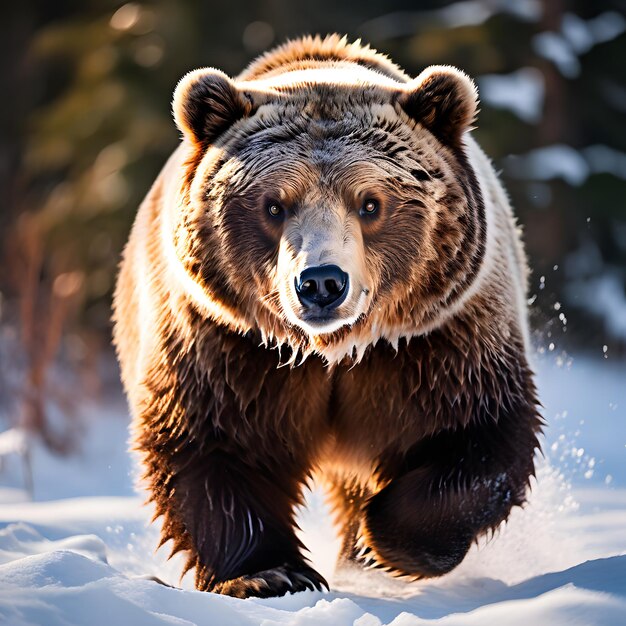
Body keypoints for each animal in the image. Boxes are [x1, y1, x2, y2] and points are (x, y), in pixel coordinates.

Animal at [112, 35, 540, 600]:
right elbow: (214, 443)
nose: (320, 283)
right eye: (274, 205)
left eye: (371, 203)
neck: (334, 349)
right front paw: (269, 573)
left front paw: (382, 545)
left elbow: (477, 430)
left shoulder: (436, 339)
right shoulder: (226, 343)